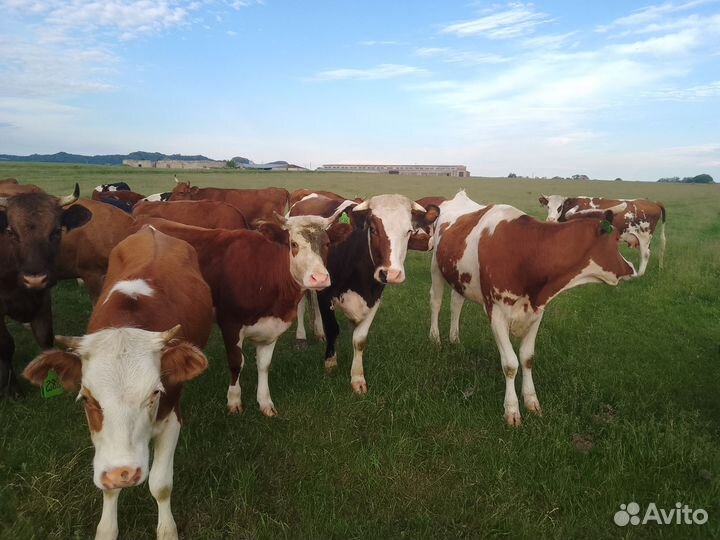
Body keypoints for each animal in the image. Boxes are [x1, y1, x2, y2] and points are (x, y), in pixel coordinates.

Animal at [0, 185, 91, 398]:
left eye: (56, 231)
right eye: (11, 232)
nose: (34, 279)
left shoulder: (43, 297)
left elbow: (45, 336)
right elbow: (6, 344)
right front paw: (13, 388)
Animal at [23, 226, 212, 540]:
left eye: (155, 393)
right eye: (87, 398)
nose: (122, 473)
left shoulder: (172, 417)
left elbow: (161, 484)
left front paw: (167, 529)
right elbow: (108, 489)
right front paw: (107, 528)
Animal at [138, 205, 348, 416]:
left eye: (327, 243)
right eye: (294, 244)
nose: (319, 278)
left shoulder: (272, 326)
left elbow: (263, 364)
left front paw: (265, 402)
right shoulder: (230, 323)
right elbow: (236, 362)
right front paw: (234, 400)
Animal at [302, 194, 439, 394]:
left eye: (408, 231)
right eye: (373, 229)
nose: (392, 274)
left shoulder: (374, 299)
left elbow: (359, 339)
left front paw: (357, 378)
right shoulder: (325, 294)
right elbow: (332, 329)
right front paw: (330, 362)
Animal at [430, 191, 635, 425]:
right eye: (617, 239)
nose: (632, 268)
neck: (528, 251)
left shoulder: (537, 312)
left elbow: (527, 358)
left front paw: (531, 401)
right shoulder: (496, 312)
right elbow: (510, 364)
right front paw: (511, 410)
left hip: (460, 277)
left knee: (456, 303)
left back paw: (455, 339)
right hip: (436, 267)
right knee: (436, 302)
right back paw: (435, 339)